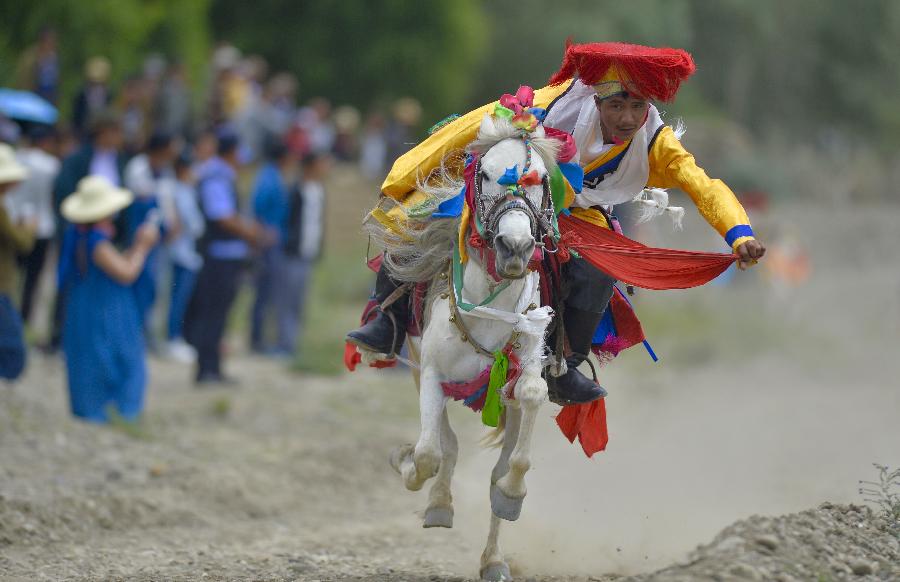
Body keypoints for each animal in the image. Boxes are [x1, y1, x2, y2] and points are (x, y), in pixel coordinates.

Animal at [360, 112, 564, 580]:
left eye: (542, 179)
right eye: (486, 173)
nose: (515, 247)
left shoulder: (524, 362)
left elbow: (528, 406)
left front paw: (511, 494)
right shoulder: (431, 372)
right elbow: (428, 453)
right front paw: (407, 467)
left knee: (493, 466)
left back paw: (493, 559)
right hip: (419, 368)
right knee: (445, 445)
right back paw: (437, 502)